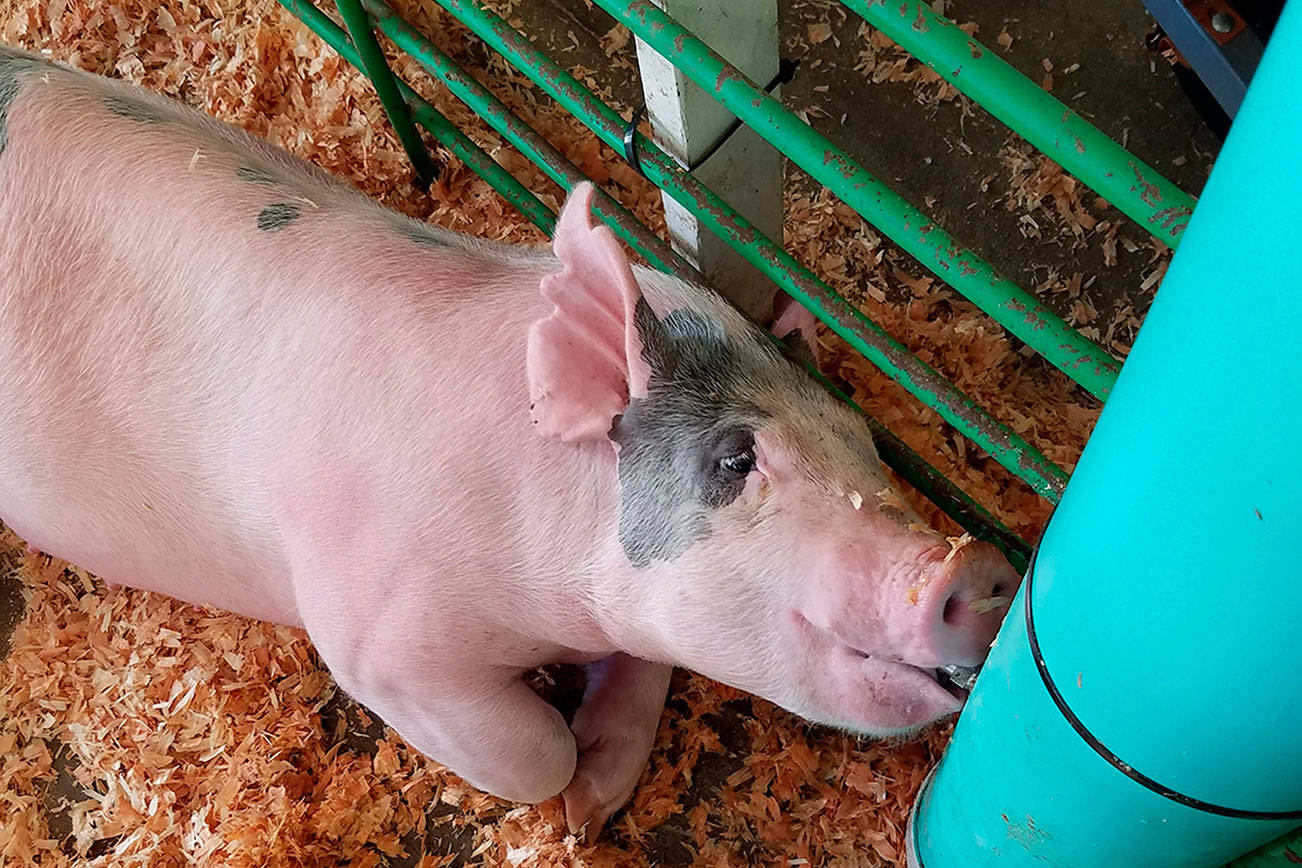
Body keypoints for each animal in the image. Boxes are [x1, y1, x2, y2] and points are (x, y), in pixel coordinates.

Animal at [0, 45, 1015, 832]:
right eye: (735, 458)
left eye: (864, 443)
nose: (983, 568)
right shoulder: (375, 641)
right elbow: (532, 753)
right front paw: (569, 810)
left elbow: (645, 674)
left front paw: (595, 807)